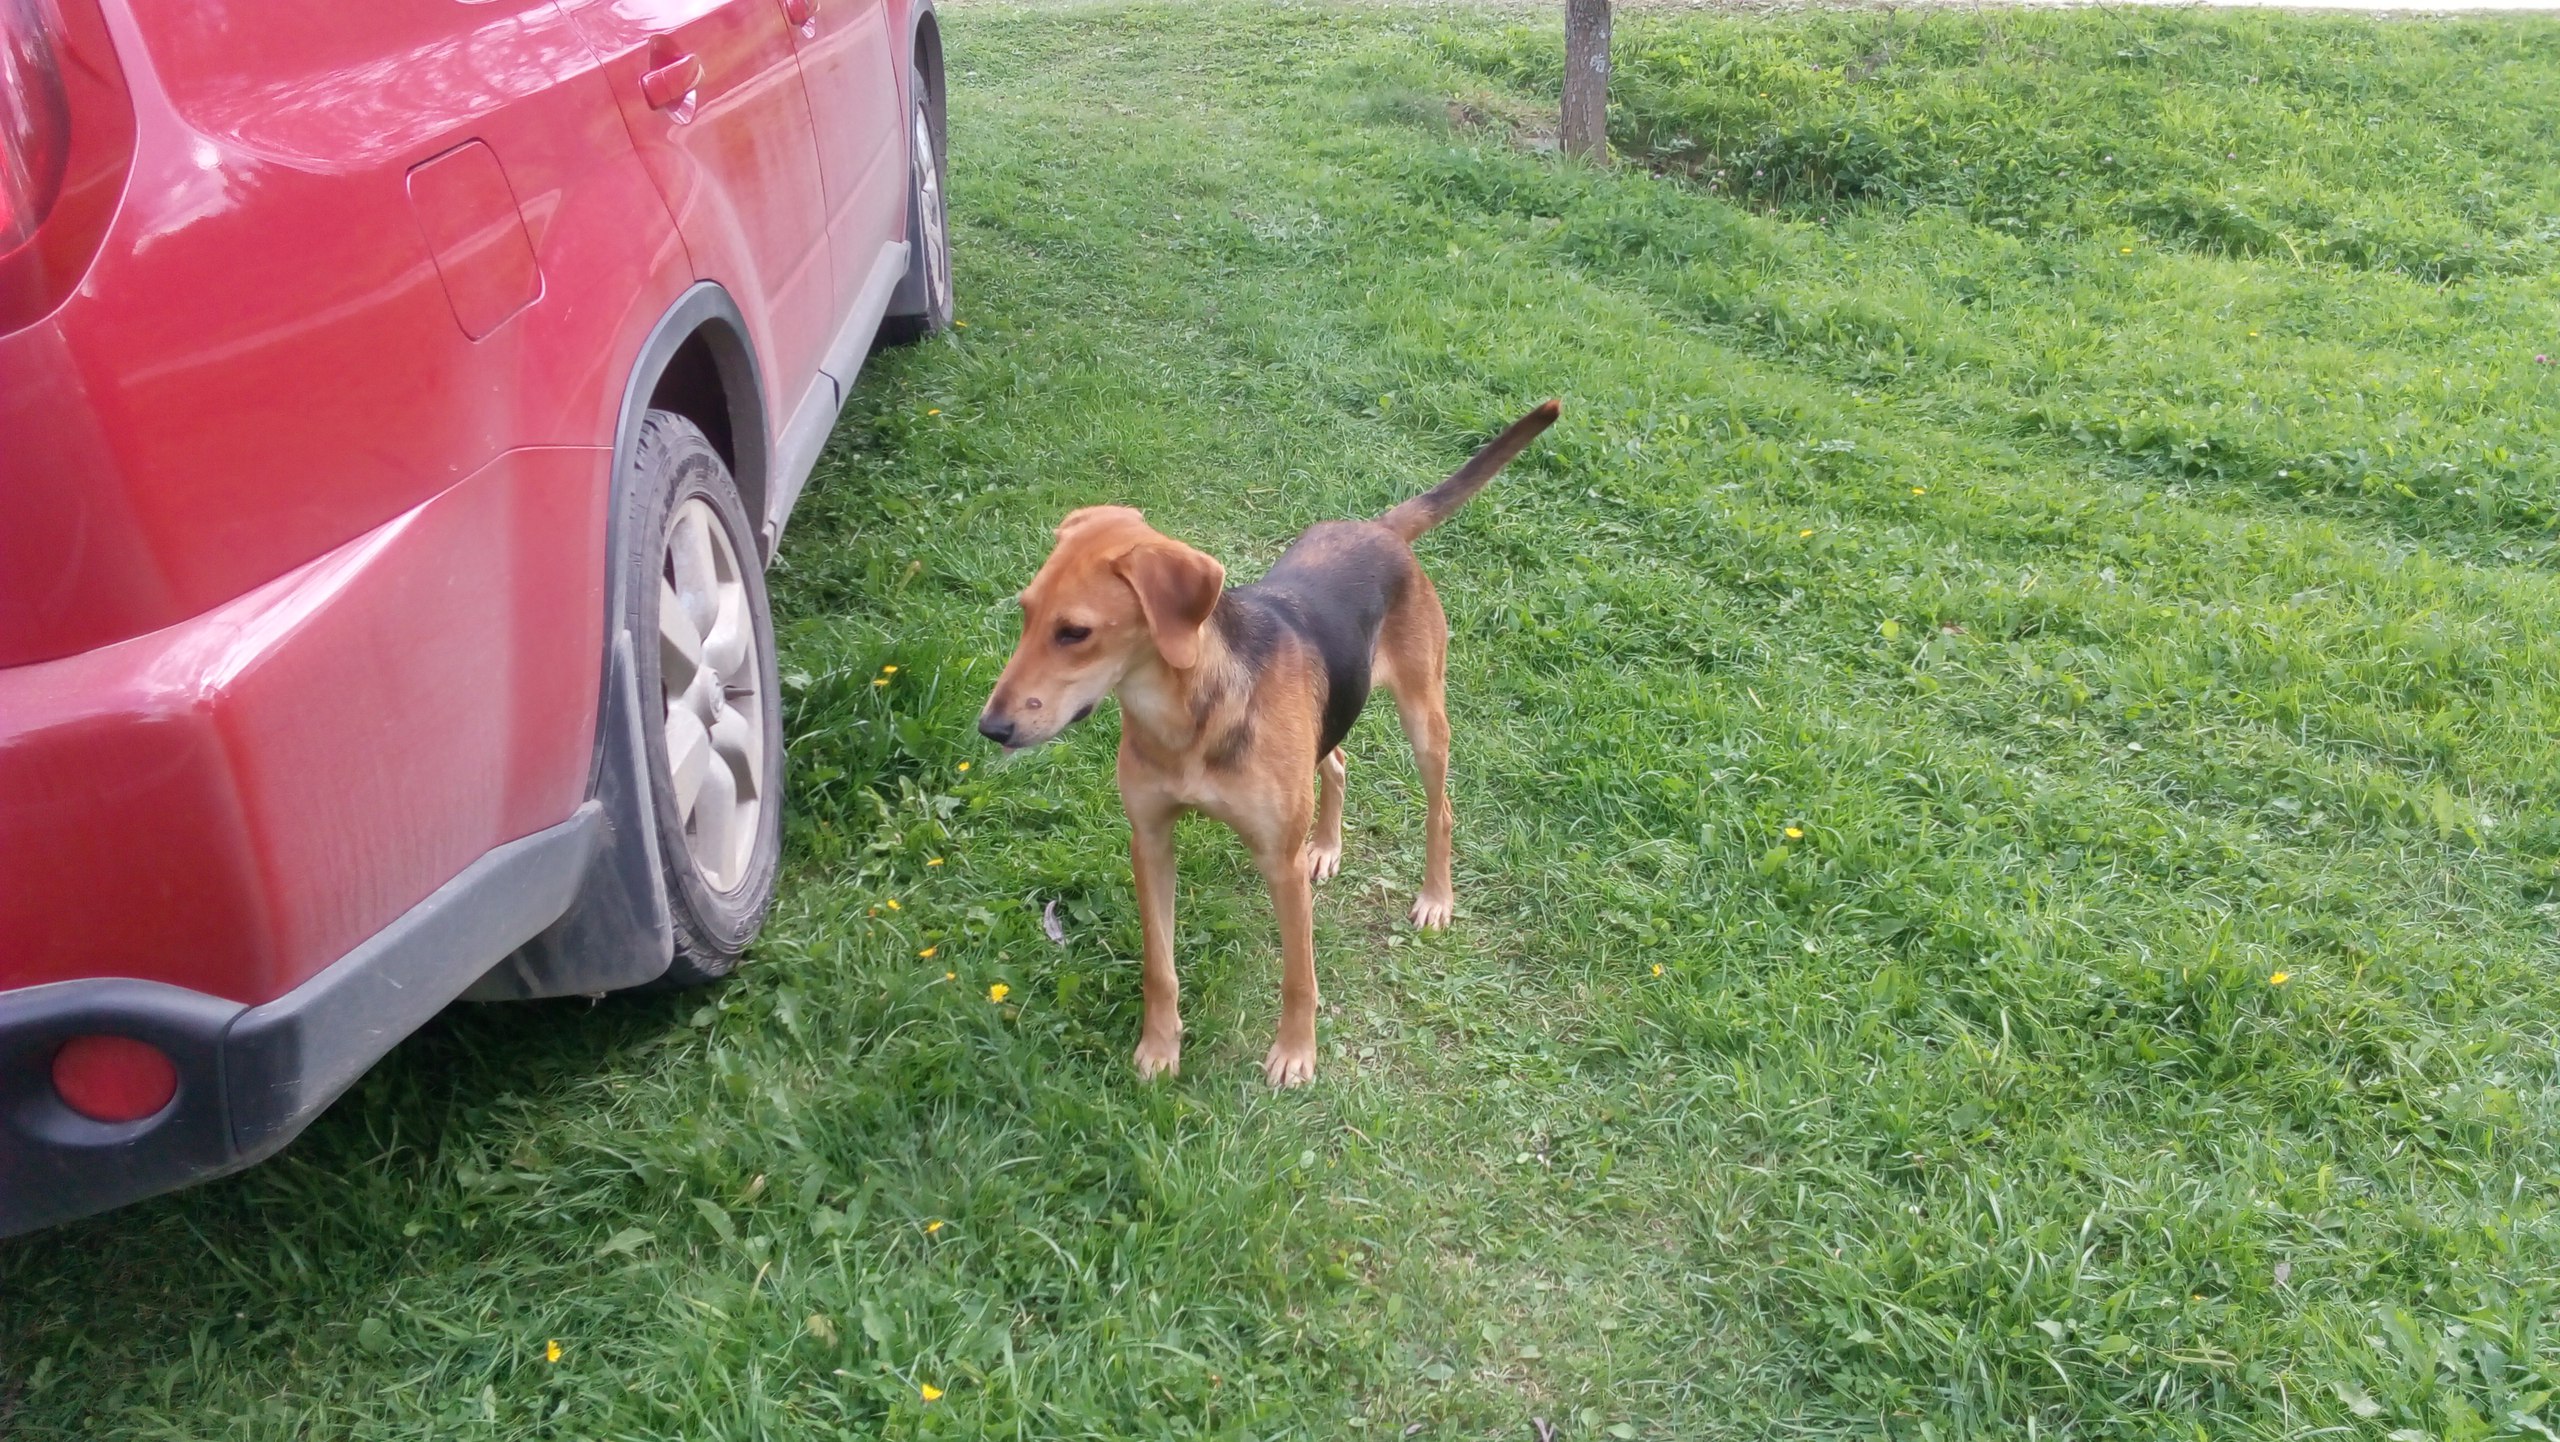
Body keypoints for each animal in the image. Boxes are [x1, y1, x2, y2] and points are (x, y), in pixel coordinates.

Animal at [977, 401, 1561, 1087]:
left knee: (1439, 810)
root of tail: (1382, 529)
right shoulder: (1150, 840)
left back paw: (1435, 899)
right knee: (1338, 763)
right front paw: (1160, 1048)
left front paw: (1295, 1054)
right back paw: (1328, 847)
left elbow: (1298, 977)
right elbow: (1158, 966)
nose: (991, 728)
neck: (1188, 717)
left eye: (1075, 632)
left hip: (1425, 720)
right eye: (1025, 612)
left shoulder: (1279, 865)